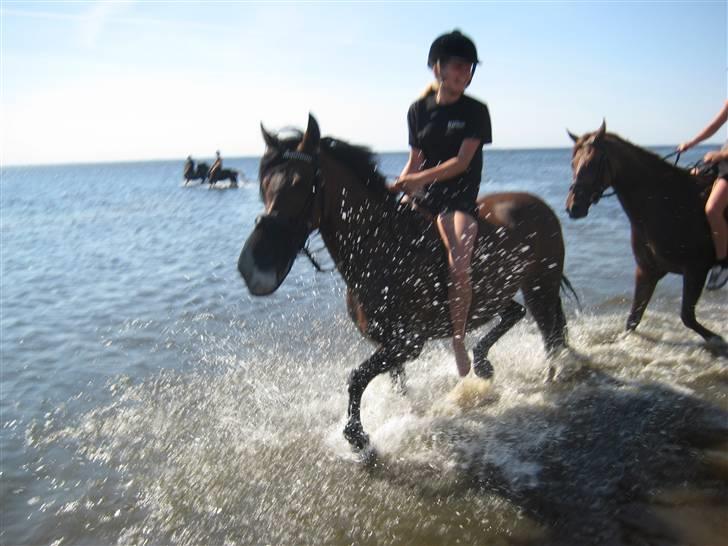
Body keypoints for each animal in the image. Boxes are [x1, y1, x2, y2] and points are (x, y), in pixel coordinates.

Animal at [239, 115, 576, 450]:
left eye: (299, 184)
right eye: (264, 186)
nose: (250, 267)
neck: (384, 249)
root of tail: (539, 205)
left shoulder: (407, 343)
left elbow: (356, 378)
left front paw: (357, 437)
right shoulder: (386, 343)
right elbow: (395, 383)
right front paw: (400, 412)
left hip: (541, 287)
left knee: (550, 333)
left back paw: (551, 375)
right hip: (497, 293)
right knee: (516, 314)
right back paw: (483, 364)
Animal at [564, 119, 724, 348]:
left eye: (593, 162)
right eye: (573, 163)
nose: (573, 207)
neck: (669, 203)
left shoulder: (696, 269)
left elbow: (687, 316)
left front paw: (717, 338)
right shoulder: (647, 271)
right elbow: (633, 319)